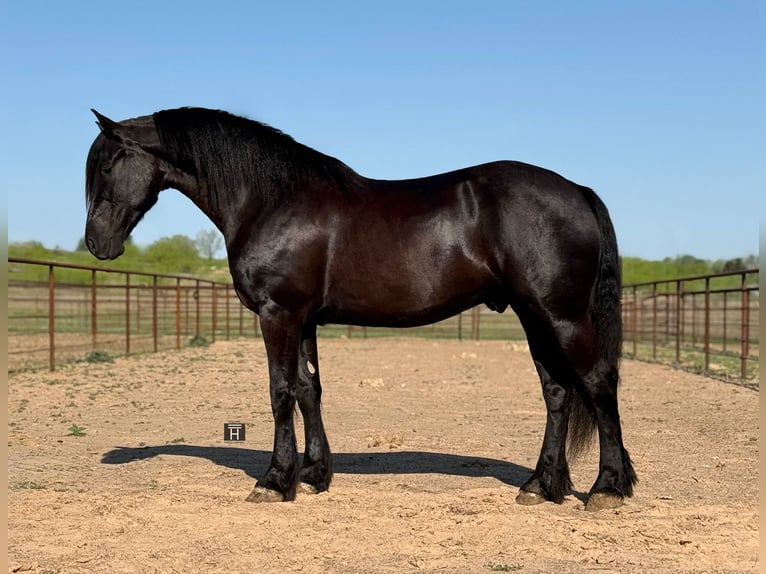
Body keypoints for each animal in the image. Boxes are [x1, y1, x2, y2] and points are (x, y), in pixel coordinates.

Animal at [85, 107, 637, 511]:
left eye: (107, 165)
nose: (95, 243)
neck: (272, 199)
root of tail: (578, 191)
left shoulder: (278, 314)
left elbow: (280, 391)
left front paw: (274, 481)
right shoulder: (304, 319)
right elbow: (309, 390)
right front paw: (312, 476)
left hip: (561, 315)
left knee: (597, 384)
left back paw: (607, 488)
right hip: (534, 316)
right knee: (557, 393)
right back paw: (540, 486)